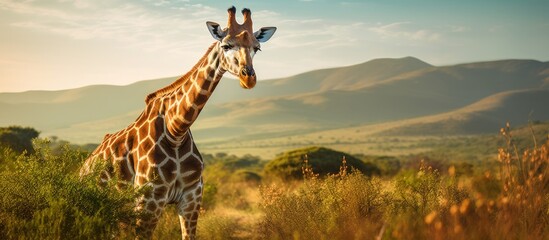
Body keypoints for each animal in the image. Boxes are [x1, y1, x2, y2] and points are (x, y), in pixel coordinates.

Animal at [79, 6, 276, 239]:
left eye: (257, 48)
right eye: (226, 45)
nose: (248, 78)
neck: (176, 130)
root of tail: (83, 166)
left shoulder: (192, 198)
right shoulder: (149, 200)